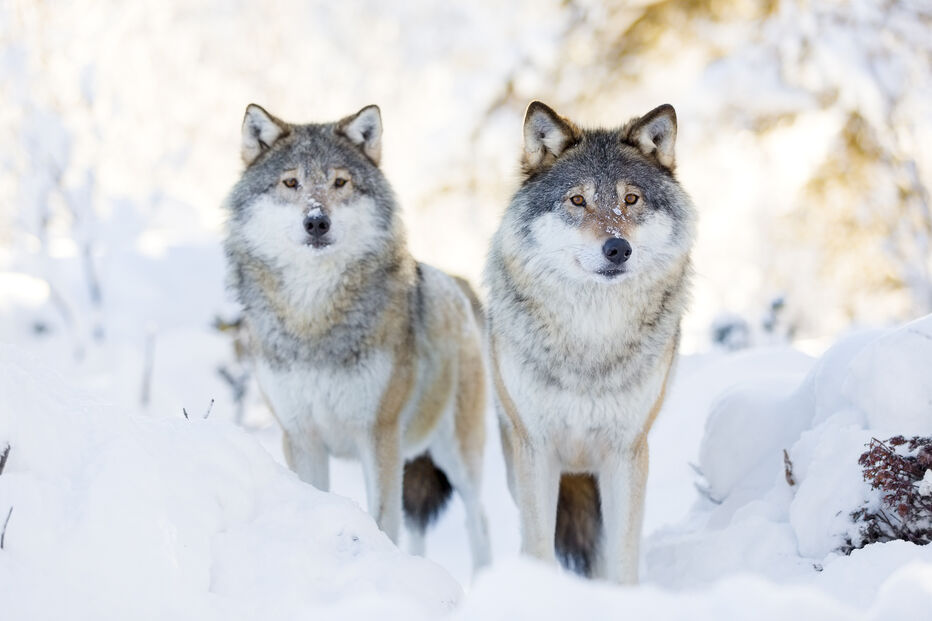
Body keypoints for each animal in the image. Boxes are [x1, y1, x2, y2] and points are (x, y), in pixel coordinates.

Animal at [223, 103, 491, 570]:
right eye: (290, 182)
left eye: (340, 182)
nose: (316, 221)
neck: (313, 319)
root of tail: (458, 286)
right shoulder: (301, 437)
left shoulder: (378, 434)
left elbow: (382, 521)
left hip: (457, 456)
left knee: (481, 523)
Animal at [484, 101, 696, 583]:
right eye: (577, 200)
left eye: (630, 199)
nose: (617, 249)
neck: (591, 338)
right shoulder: (536, 449)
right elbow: (539, 547)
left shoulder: (627, 452)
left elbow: (621, 557)